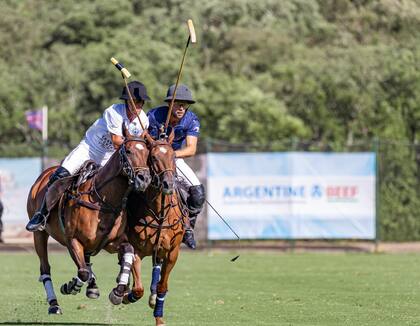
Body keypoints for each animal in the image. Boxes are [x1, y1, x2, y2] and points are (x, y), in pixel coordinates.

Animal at [26, 129, 151, 314]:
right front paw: (71, 286)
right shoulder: (72, 240)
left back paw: (92, 287)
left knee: (85, 261)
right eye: (128, 151)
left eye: (148, 153)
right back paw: (54, 304)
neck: (103, 201)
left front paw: (118, 291)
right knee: (45, 268)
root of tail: (44, 174)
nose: (144, 179)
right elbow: (82, 272)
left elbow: (128, 250)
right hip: (39, 234)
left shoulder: (111, 242)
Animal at [119, 133, 189, 326]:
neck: (160, 213)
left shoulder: (173, 252)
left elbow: (162, 286)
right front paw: (126, 296)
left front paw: (159, 317)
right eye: (154, 157)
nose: (168, 184)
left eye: (173, 156)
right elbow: (137, 289)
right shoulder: (137, 249)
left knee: (156, 267)